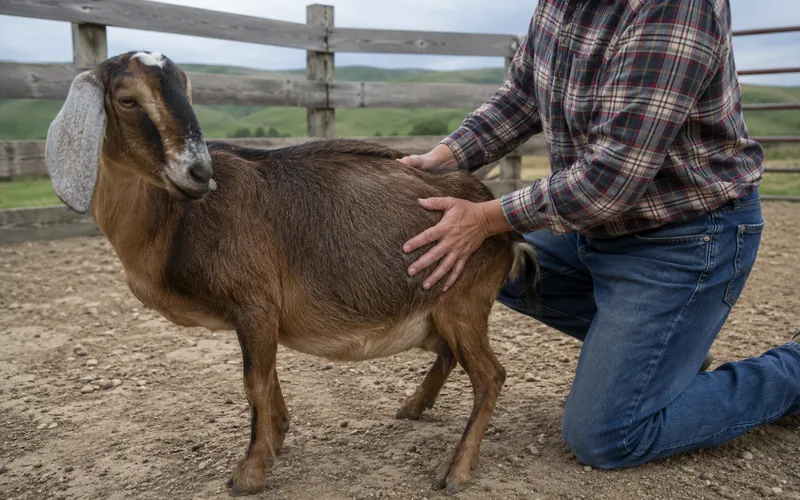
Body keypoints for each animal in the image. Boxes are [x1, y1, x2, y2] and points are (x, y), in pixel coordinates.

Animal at [44, 51, 539, 496]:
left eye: (186, 90)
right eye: (127, 100)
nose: (199, 171)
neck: (174, 222)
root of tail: (499, 222)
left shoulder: (254, 301)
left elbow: (254, 382)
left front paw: (249, 472)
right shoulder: (260, 313)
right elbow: (266, 376)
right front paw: (276, 437)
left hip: (462, 303)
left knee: (490, 376)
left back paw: (456, 470)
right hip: (435, 312)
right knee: (452, 356)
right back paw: (414, 407)